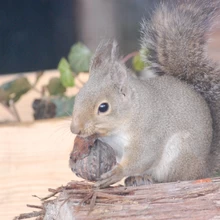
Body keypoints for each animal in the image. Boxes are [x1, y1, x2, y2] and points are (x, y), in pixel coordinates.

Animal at [70, 0, 220, 189]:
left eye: (103, 107)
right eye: (77, 97)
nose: (74, 129)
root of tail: (203, 168)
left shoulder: (149, 134)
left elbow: (142, 157)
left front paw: (117, 173)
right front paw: (78, 147)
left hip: (178, 155)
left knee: (171, 178)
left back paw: (145, 178)